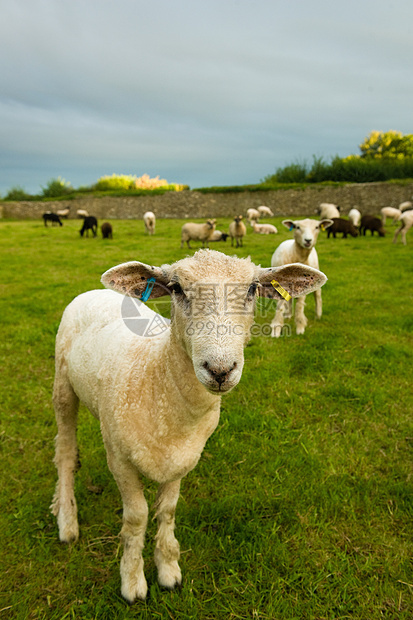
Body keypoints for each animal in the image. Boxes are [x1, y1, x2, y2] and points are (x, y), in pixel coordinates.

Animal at [50, 249, 326, 604]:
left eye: (253, 289)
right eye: (177, 289)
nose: (220, 370)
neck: (158, 381)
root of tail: (96, 291)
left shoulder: (183, 458)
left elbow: (167, 511)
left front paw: (168, 568)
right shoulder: (119, 458)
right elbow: (136, 516)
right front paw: (132, 579)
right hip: (62, 385)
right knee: (65, 452)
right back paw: (67, 520)